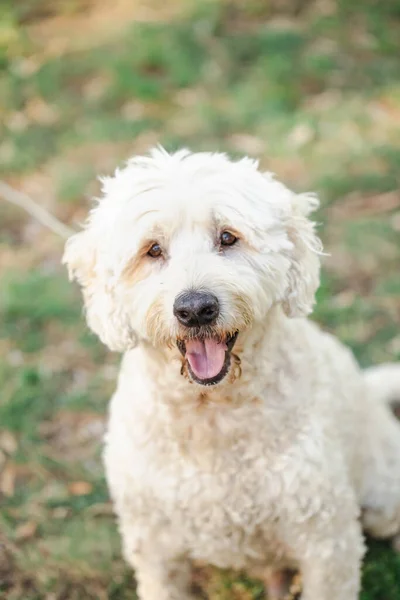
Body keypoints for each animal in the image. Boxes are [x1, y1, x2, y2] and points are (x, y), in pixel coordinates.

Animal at [64, 146, 400, 600]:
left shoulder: (326, 541)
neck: (211, 412)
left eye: (227, 237)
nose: (195, 309)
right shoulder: (153, 546)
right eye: (153, 250)